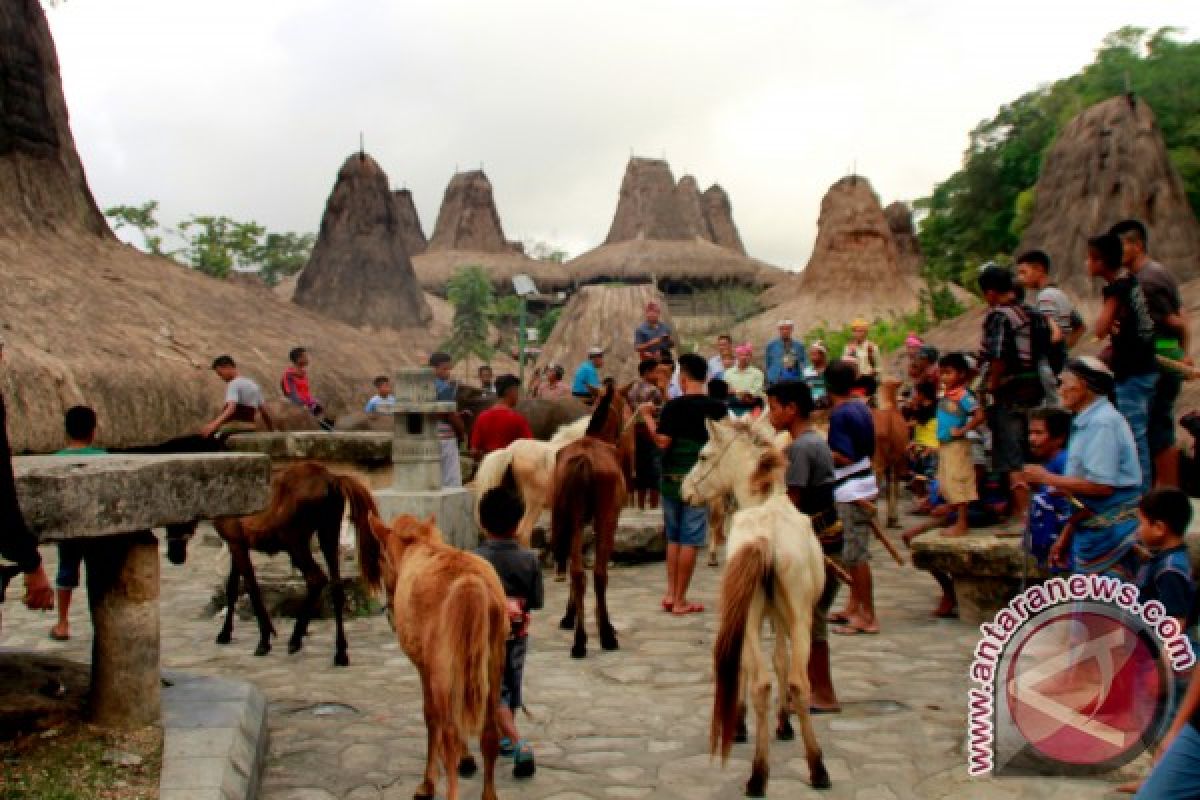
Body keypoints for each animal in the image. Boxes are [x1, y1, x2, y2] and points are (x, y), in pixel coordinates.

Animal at [212, 460, 374, 666]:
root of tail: (330, 478)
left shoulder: (235, 540)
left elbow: (251, 587)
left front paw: (264, 640)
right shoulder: (237, 542)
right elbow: (232, 587)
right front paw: (225, 634)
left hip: (294, 540)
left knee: (316, 578)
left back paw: (295, 640)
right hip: (329, 533)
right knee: (336, 585)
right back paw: (340, 653)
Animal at [355, 513, 506, 800]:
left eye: (381, 560)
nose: (389, 613)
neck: (420, 544)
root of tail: (469, 581)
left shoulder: (425, 669)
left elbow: (430, 717)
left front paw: (428, 782)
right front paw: (466, 758)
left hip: (441, 673)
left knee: (447, 732)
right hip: (492, 669)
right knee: (489, 730)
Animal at [549, 383, 628, 662]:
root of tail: (585, 459)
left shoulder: (575, 521)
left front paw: (569, 616)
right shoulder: (609, 519)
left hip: (570, 518)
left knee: (577, 572)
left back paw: (580, 640)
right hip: (605, 518)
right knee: (598, 574)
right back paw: (605, 635)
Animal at [681, 417, 830, 796]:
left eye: (702, 456)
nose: (685, 491)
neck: (764, 500)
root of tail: (766, 538)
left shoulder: (762, 614)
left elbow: (764, 665)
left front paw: (745, 724)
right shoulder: (777, 616)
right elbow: (779, 662)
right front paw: (781, 724)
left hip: (757, 616)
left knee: (764, 681)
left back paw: (762, 774)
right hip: (798, 617)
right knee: (797, 682)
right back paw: (813, 766)